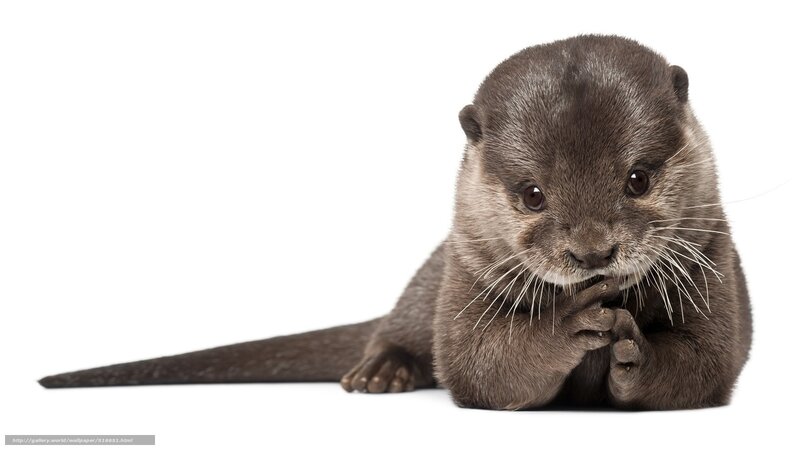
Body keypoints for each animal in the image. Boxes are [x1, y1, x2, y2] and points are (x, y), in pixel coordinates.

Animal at [39, 35, 752, 410]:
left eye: (638, 179)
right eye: (532, 194)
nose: (593, 253)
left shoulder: (714, 260)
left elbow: (708, 362)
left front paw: (637, 348)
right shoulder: (465, 271)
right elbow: (478, 365)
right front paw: (572, 322)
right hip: (430, 278)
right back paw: (379, 372)